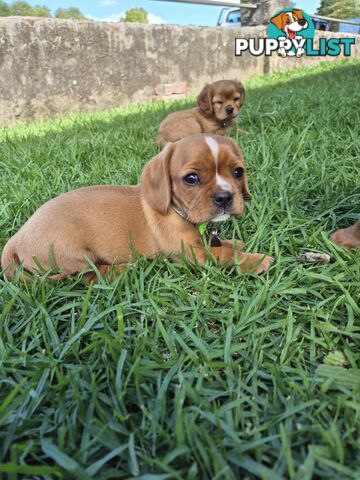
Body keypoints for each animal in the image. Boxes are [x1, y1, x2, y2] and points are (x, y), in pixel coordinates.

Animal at [0, 133, 272, 280]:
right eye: (191, 178)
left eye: (238, 172)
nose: (225, 197)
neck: (178, 212)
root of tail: (16, 237)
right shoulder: (192, 254)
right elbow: (223, 254)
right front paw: (255, 260)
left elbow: (221, 245)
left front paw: (234, 242)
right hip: (76, 256)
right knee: (89, 275)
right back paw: (124, 269)